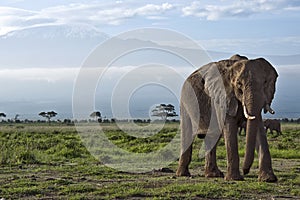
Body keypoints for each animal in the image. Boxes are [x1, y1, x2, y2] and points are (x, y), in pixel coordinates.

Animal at [177, 54, 278, 182]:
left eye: (265, 83)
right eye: (239, 84)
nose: (246, 171)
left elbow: (258, 125)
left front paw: (268, 179)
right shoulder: (223, 96)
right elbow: (229, 127)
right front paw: (234, 179)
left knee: (212, 136)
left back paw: (213, 175)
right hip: (185, 102)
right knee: (188, 134)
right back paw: (183, 174)